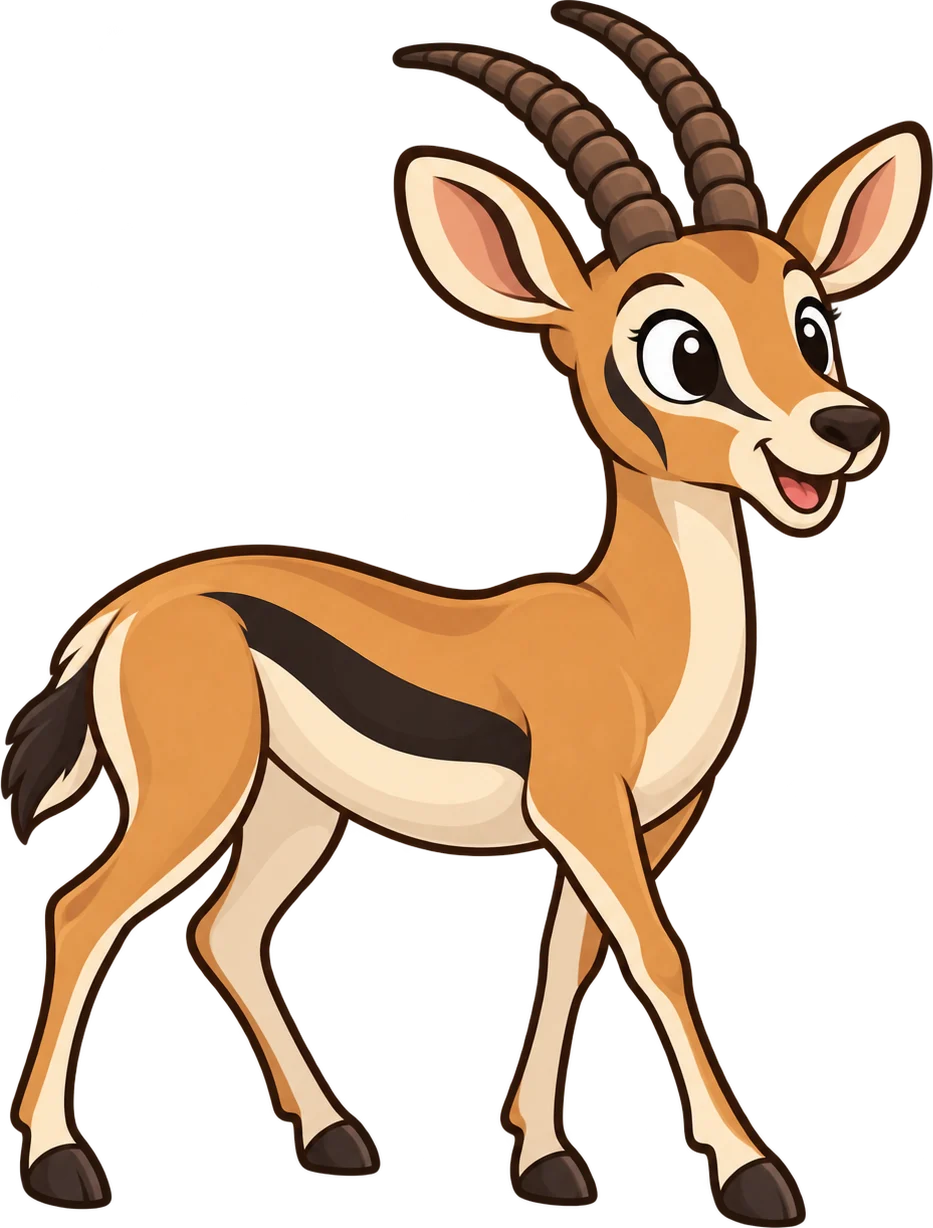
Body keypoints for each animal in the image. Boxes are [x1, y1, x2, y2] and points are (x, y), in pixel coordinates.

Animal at [4, 2, 928, 1221]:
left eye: (810, 323)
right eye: (680, 348)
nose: (843, 429)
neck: (631, 637)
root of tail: (120, 615)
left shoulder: (633, 824)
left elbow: (573, 957)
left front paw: (545, 1160)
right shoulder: (585, 806)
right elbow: (657, 954)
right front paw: (752, 1173)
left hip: (295, 807)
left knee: (228, 931)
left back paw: (335, 1139)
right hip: (194, 796)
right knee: (82, 912)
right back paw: (58, 1160)